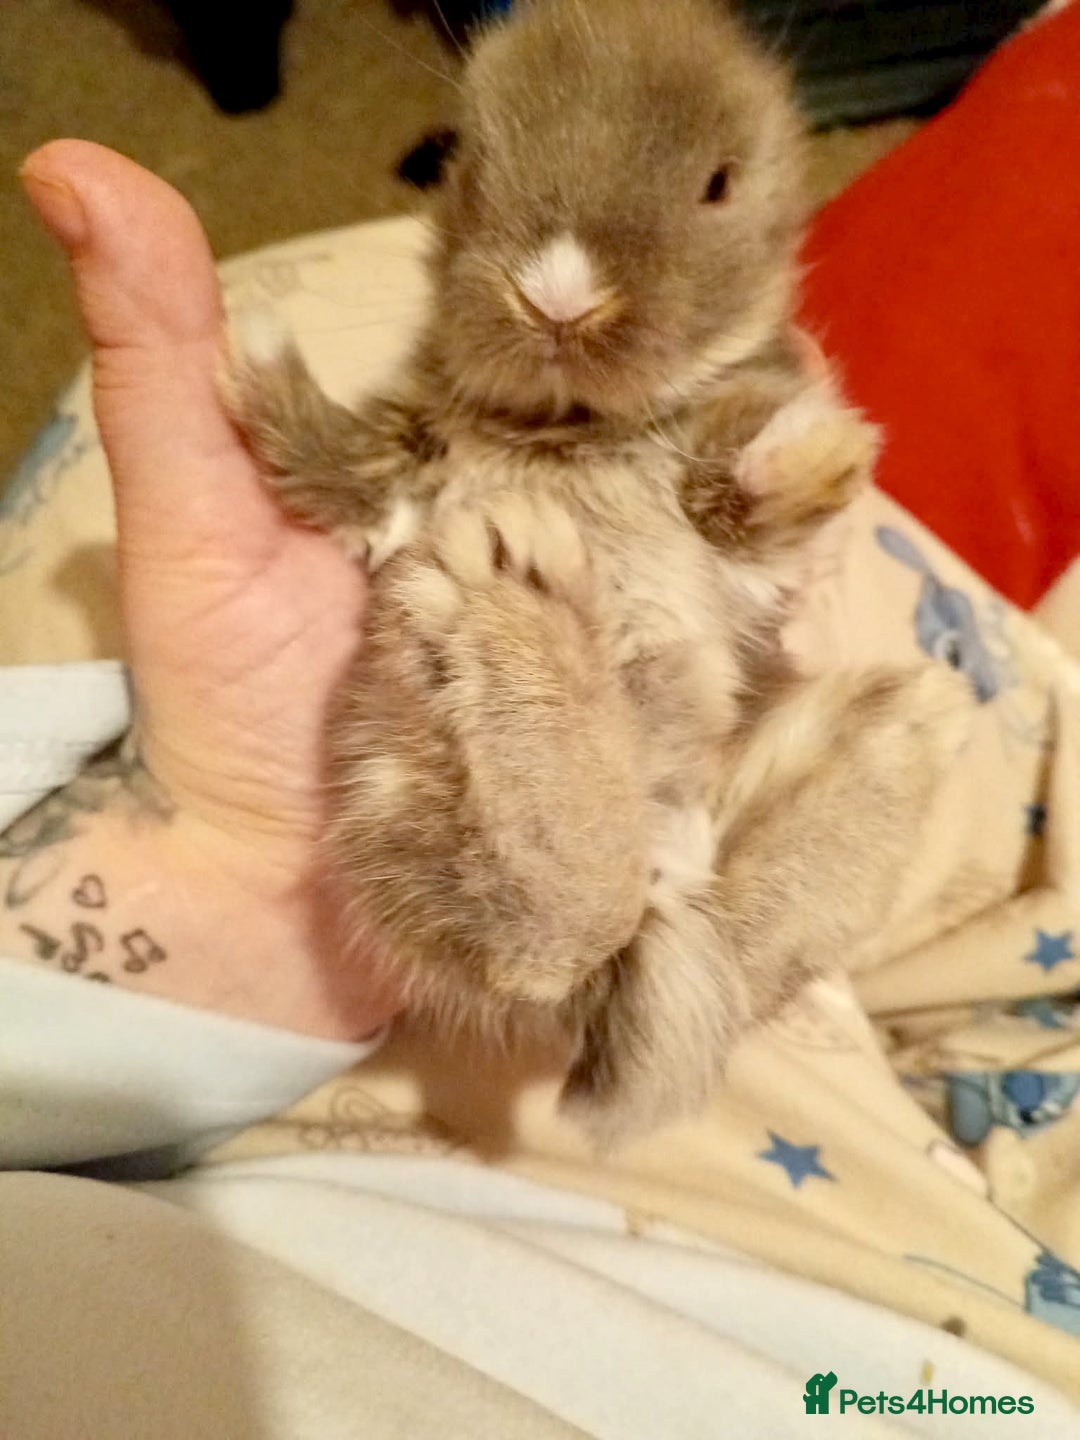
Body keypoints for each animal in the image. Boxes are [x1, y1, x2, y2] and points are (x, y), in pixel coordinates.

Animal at [224, 0, 969, 1141]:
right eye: (464, 155)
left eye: (718, 185)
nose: (558, 296)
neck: (568, 432)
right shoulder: (398, 463)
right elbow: (333, 465)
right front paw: (253, 344)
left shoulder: (735, 529)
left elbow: (747, 493)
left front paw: (822, 443)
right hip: (395, 794)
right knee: (548, 941)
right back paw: (521, 600)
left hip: (868, 730)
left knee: (698, 943)